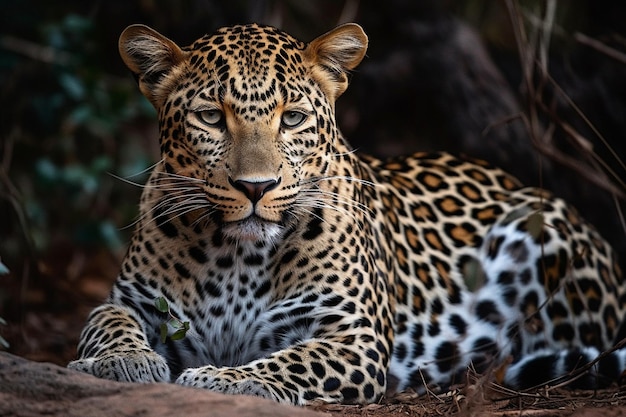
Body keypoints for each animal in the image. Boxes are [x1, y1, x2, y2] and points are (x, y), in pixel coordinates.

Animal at [68, 22, 624, 404]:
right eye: (210, 117)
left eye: (292, 119)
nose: (256, 187)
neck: (235, 258)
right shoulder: (133, 301)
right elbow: (105, 321)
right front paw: (121, 362)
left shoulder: (352, 336)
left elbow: (288, 362)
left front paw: (222, 378)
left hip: (540, 231)